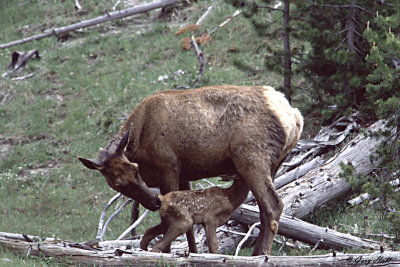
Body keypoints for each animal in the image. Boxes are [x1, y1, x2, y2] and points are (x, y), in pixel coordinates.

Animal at [79, 85, 304, 255]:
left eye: (135, 170)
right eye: (117, 183)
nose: (153, 202)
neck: (138, 143)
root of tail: (295, 116)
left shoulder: (169, 166)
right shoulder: (184, 173)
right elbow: (189, 225)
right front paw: (193, 254)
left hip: (251, 157)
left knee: (273, 206)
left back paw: (261, 255)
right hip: (274, 163)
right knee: (265, 209)